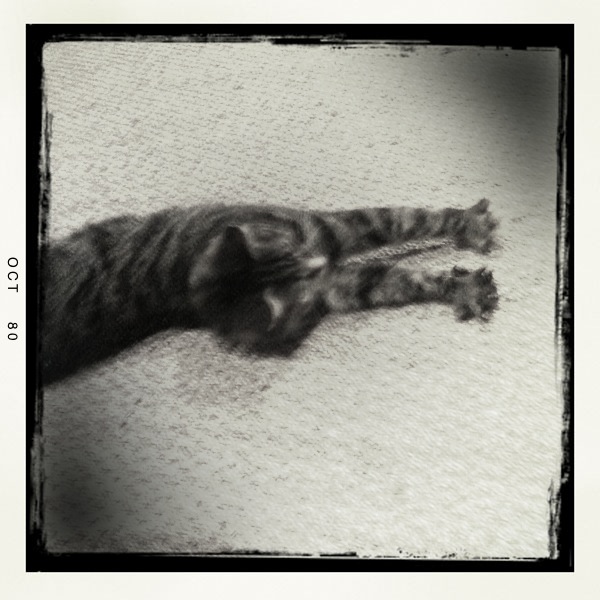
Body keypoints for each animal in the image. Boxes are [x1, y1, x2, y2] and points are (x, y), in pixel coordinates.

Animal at [40, 199, 499, 384]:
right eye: (303, 294)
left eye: (290, 244)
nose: (319, 261)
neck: (176, 278)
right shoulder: (337, 283)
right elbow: (398, 278)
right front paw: (462, 288)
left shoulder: (329, 229)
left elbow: (405, 219)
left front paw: (468, 226)